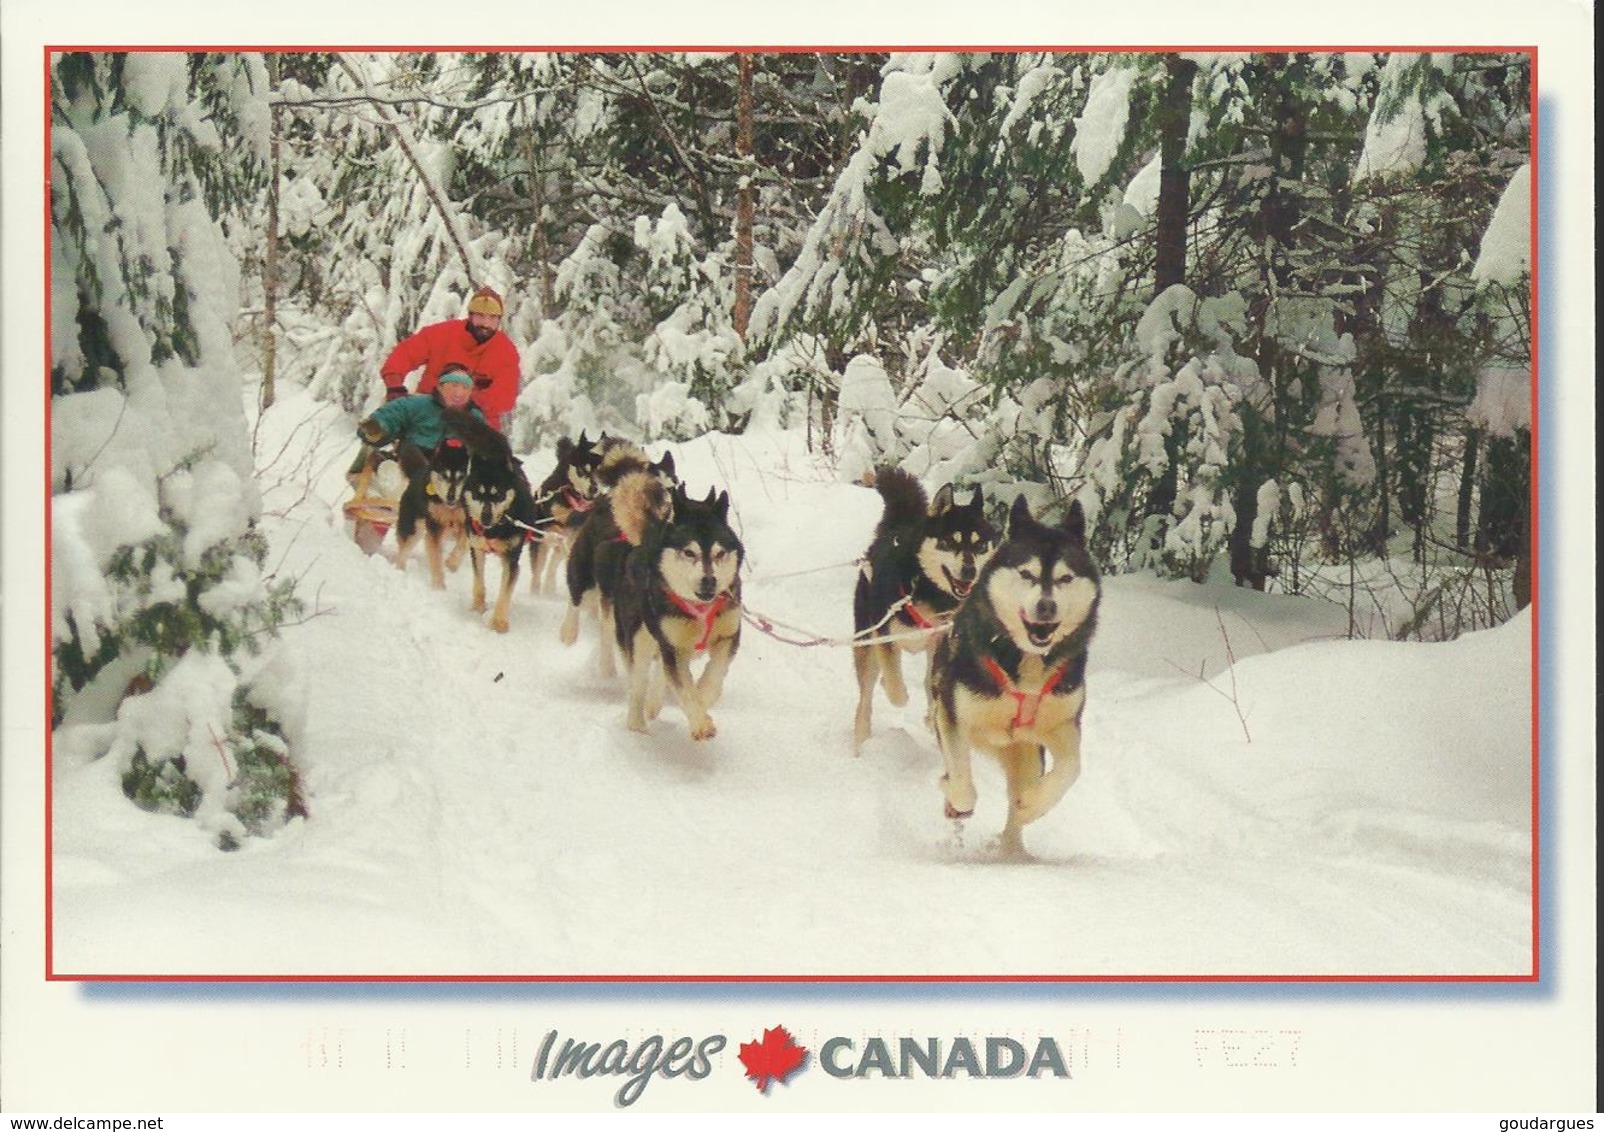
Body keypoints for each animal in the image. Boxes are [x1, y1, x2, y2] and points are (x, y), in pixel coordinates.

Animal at [612, 484, 744, 740]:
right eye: (689, 552)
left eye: (720, 553)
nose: (709, 581)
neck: (700, 608)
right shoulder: (674, 645)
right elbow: (684, 687)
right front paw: (700, 723)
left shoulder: (728, 636)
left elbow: (714, 676)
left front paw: (703, 700)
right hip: (640, 639)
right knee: (639, 682)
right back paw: (637, 724)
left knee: (661, 675)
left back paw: (654, 703)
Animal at [846, 468, 994, 750]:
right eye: (950, 541)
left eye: (980, 546)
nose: (969, 571)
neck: (927, 590)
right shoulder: (886, 638)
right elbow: (895, 686)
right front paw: (899, 694)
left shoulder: (940, 643)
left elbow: (932, 686)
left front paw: (932, 717)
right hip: (867, 641)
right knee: (866, 696)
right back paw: (861, 739)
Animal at [930, 493, 1103, 853]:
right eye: (1027, 574)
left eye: (1065, 578)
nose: (1047, 606)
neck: (1027, 663)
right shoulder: (953, 717)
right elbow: (962, 782)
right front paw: (953, 796)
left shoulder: (1063, 725)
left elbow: (1072, 768)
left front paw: (1034, 805)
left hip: (1027, 754)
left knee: (1017, 800)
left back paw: (1014, 849)